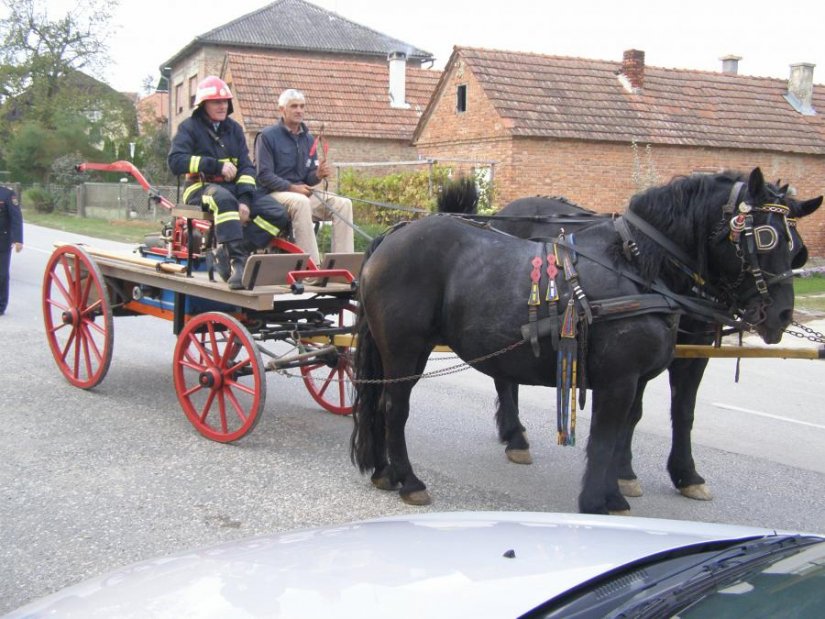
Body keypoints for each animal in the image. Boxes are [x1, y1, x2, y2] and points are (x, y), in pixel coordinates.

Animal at [350, 167, 820, 516]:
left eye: (796, 246)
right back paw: (409, 480)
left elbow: (636, 426)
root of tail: (395, 233)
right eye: (764, 237)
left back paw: (386, 472)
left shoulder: (643, 376)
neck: (638, 267)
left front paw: (624, 488)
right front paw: (599, 500)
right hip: (406, 349)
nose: (781, 314)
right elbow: (605, 436)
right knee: (394, 408)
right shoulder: (619, 379)